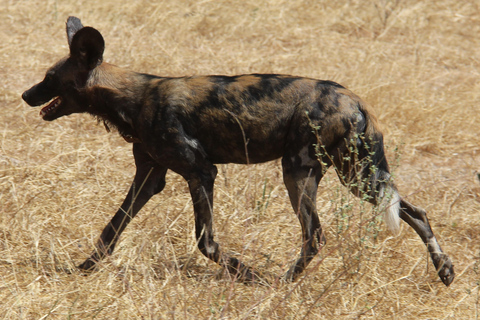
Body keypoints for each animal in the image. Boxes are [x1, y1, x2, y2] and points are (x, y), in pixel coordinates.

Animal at [22, 16, 456, 286]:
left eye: (48, 78)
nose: (25, 94)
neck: (134, 97)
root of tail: (354, 98)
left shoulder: (201, 172)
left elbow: (206, 241)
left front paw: (247, 275)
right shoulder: (149, 177)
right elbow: (110, 231)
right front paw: (81, 269)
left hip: (308, 173)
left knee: (315, 234)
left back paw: (281, 283)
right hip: (355, 176)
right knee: (415, 212)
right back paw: (445, 270)